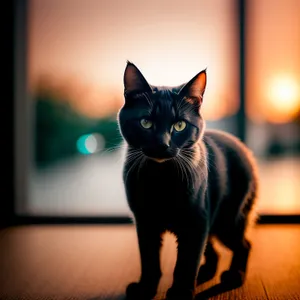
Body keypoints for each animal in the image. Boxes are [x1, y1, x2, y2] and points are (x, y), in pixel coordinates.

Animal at [117, 61, 258, 300]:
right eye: (146, 122)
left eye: (180, 125)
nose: (162, 144)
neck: (160, 178)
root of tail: (245, 149)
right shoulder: (145, 222)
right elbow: (149, 259)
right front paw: (146, 289)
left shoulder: (195, 221)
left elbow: (186, 262)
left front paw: (181, 292)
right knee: (214, 250)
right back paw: (206, 272)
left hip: (227, 218)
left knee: (244, 244)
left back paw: (234, 276)